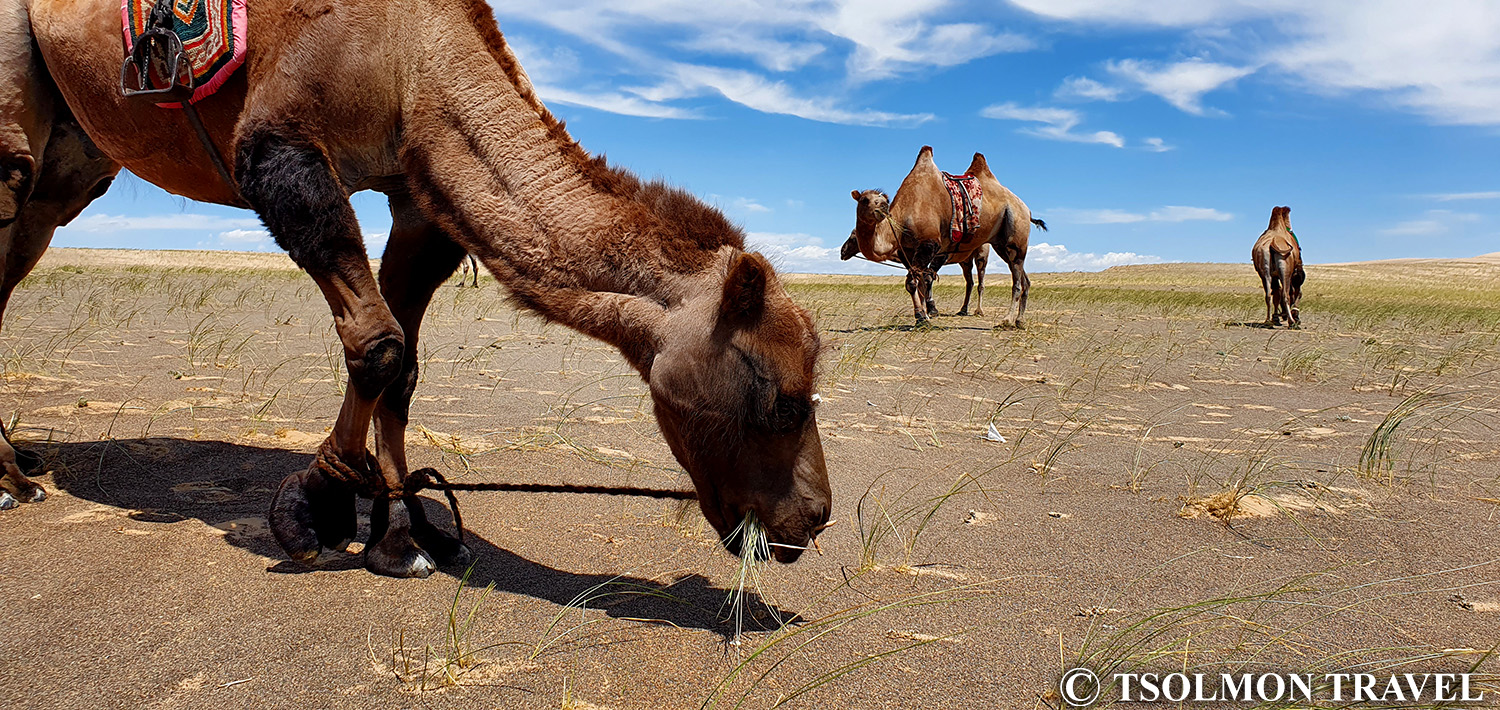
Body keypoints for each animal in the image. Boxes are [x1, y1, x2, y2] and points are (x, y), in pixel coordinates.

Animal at [0, 0, 834, 576]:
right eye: (784, 402)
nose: (815, 517)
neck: (414, 52)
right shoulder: (279, 148)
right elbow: (378, 344)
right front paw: (312, 510)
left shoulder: (420, 195)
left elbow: (402, 368)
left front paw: (402, 533)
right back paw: (9, 481)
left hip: (75, 158)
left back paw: (23, 461)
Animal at [840, 149, 1050, 327]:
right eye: (864, 200)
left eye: (884, 200)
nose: (882, 209)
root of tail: (1027, 210)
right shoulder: (909, 251)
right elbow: (918, 282)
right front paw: (924, 315)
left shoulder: (930, 245)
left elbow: (915, 282)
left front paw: (923, 317)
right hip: (1001, 245)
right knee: (1021, 279)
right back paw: (1019, 321)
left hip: (1011, 238)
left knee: (1010, 282)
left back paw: (1003, 319)